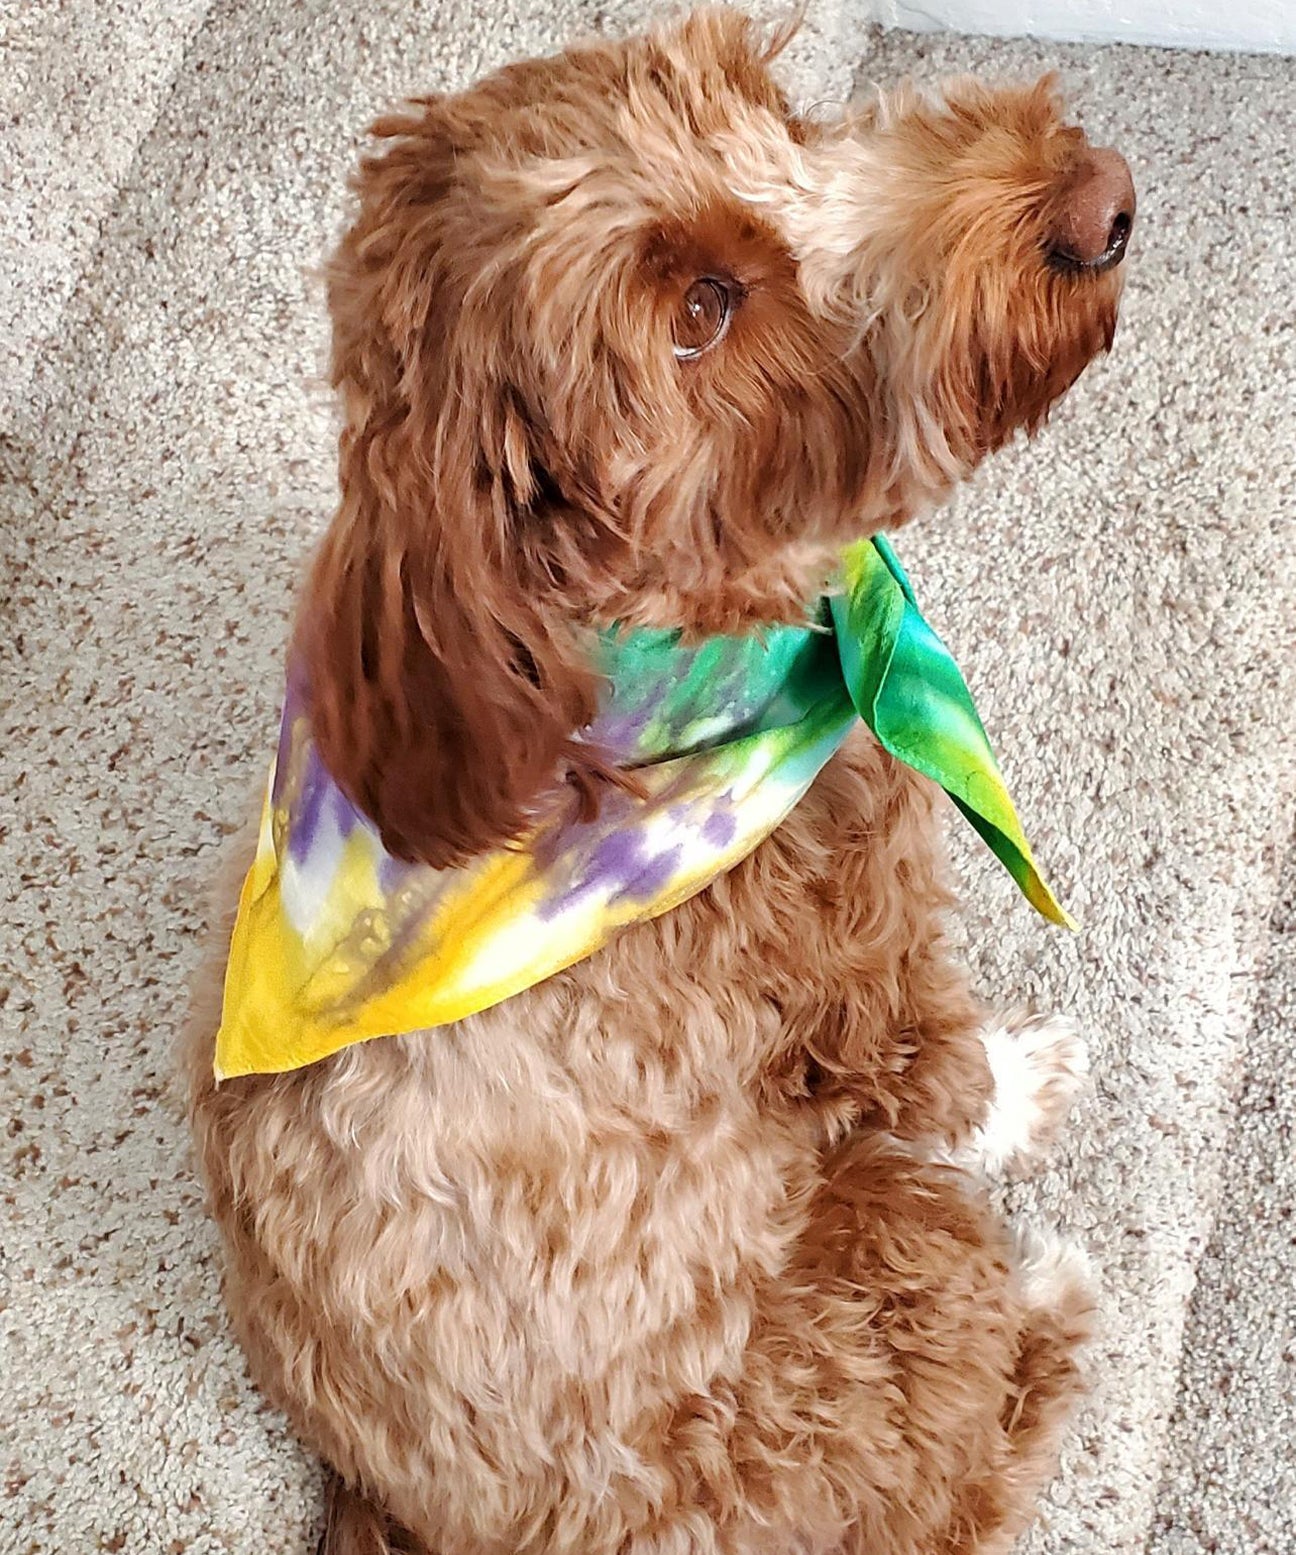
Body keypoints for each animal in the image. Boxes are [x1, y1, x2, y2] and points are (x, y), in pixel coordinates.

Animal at [184, 12, 1132, 1555]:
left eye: (775, 109)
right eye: (701, 308)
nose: (1102, 198)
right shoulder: (845, 977)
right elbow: (945, 1066)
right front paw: (1030, 1085)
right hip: (871, 1280)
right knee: (957, 1474)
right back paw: (1049, 1304)